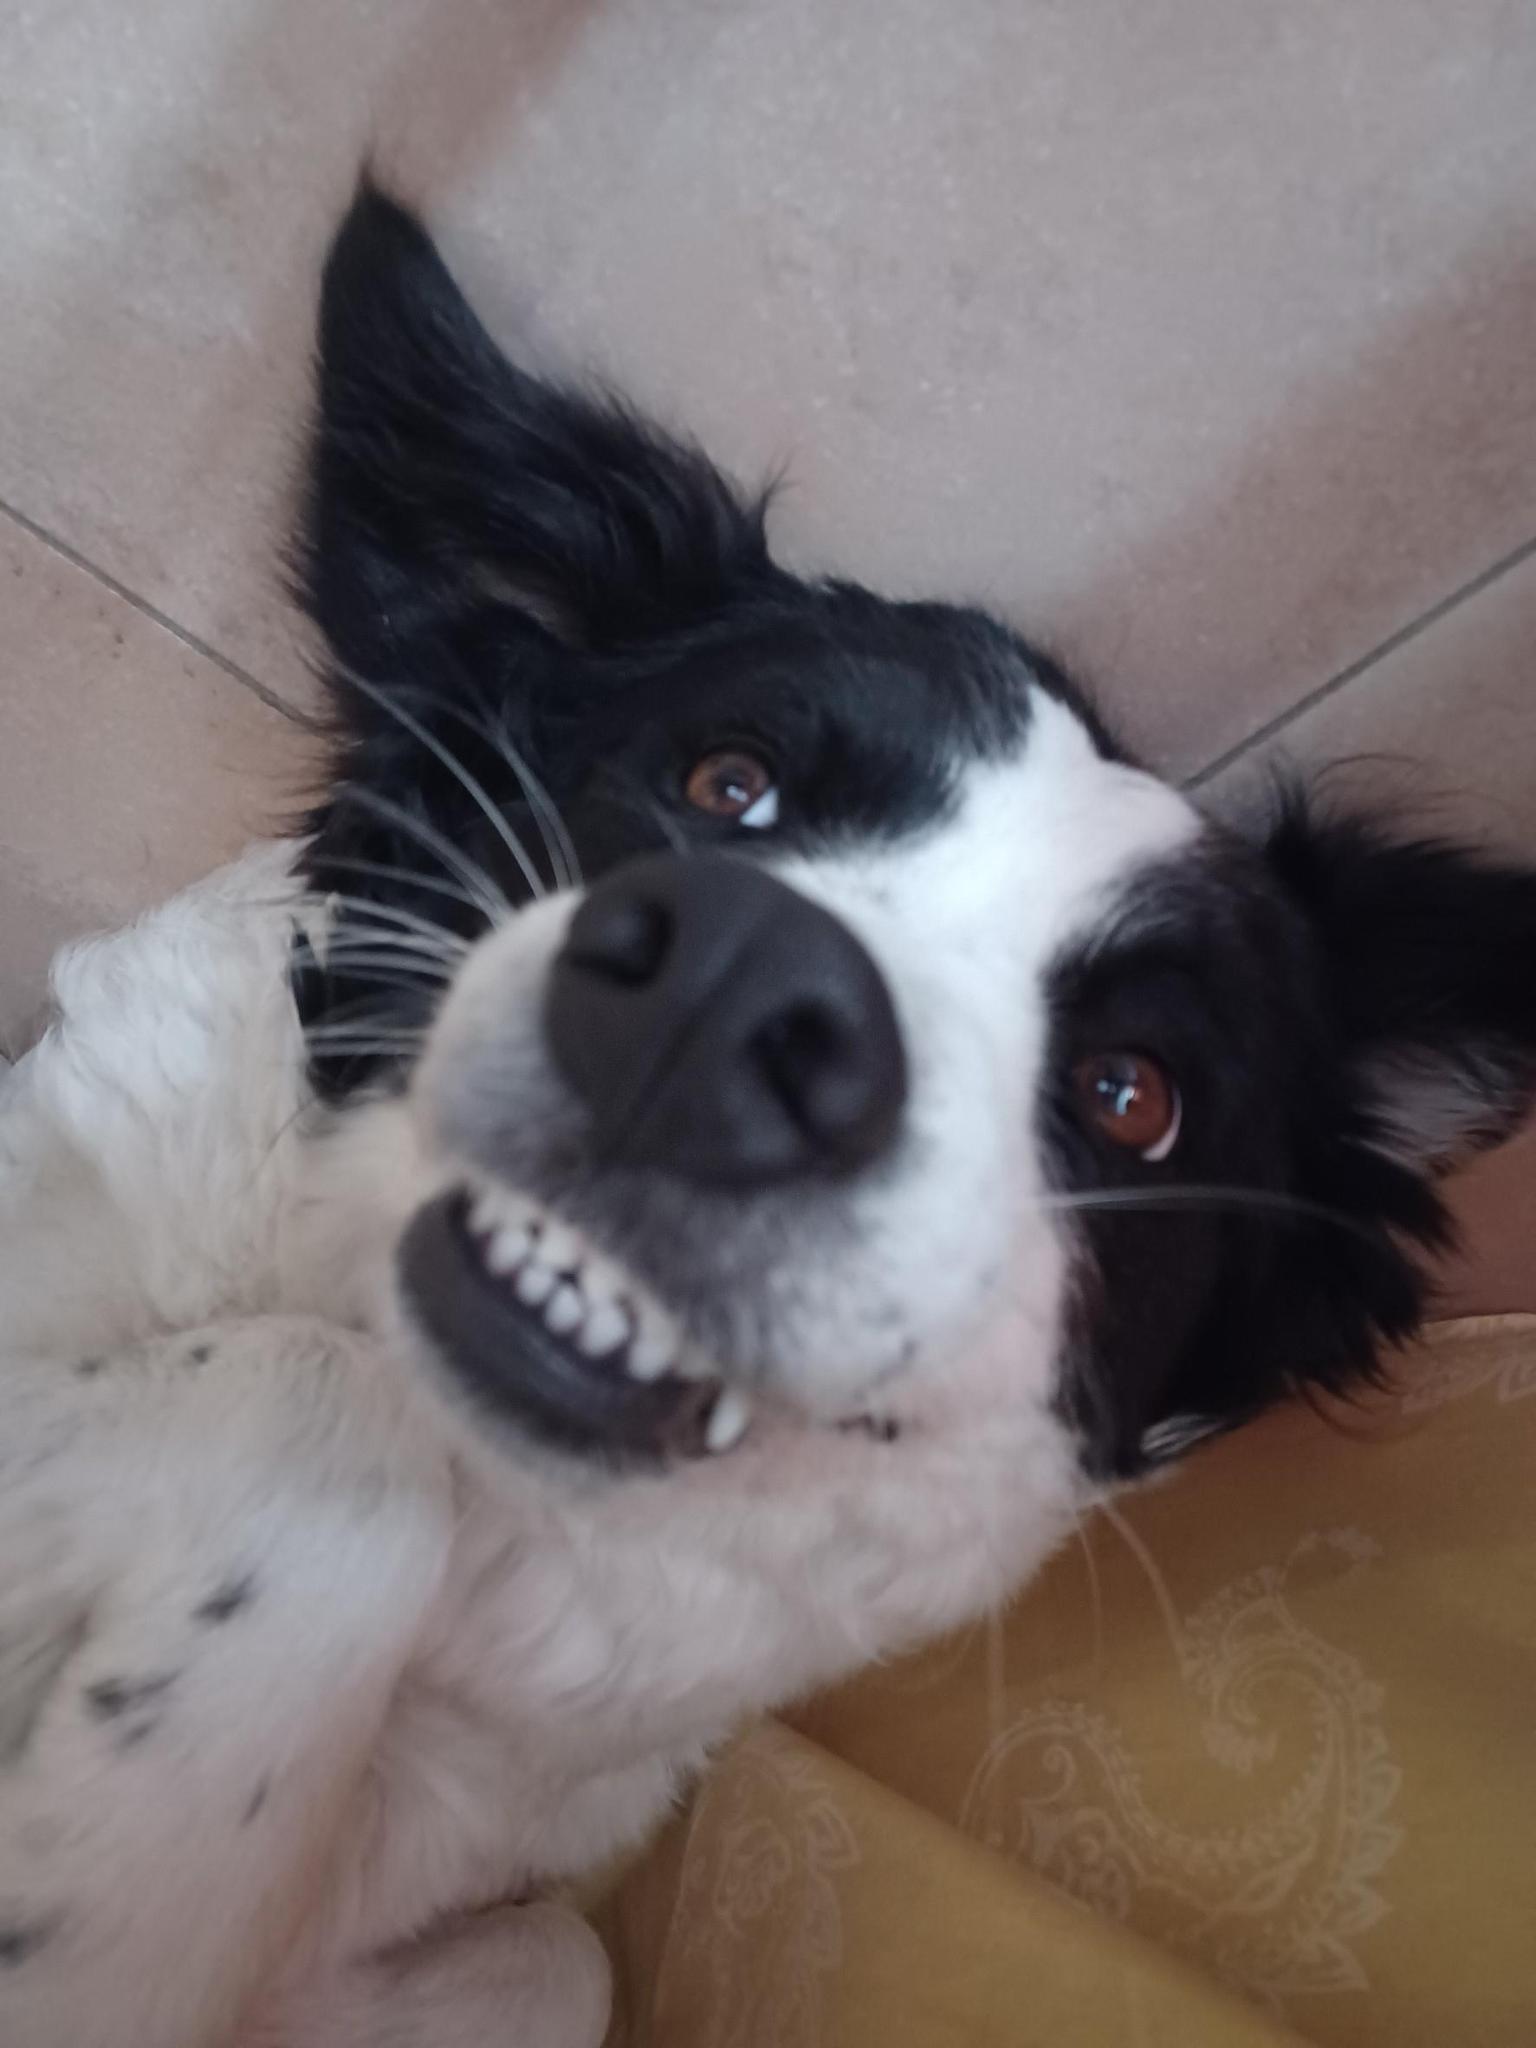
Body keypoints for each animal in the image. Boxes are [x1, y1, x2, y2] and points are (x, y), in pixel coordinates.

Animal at [3, 182, 1535, 2048]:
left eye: (1132, 1096)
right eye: (728, 780)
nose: (727, 1001)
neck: (484, 1494)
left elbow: (558, 1954)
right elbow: (323, 1419)